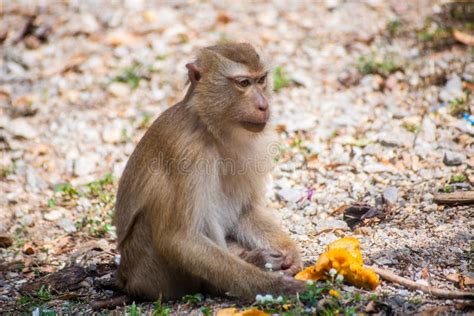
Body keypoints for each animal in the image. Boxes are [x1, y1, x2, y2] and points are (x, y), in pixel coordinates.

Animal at [115, 42, 304, 302]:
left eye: (261, 79)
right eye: (243, 83)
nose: (263, 105)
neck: (210, 128)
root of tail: (126, 278)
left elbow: (245, 211)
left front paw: (290, 252)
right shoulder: (188, 153)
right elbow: (180, 239)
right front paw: (276, 287)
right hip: (150, 272)